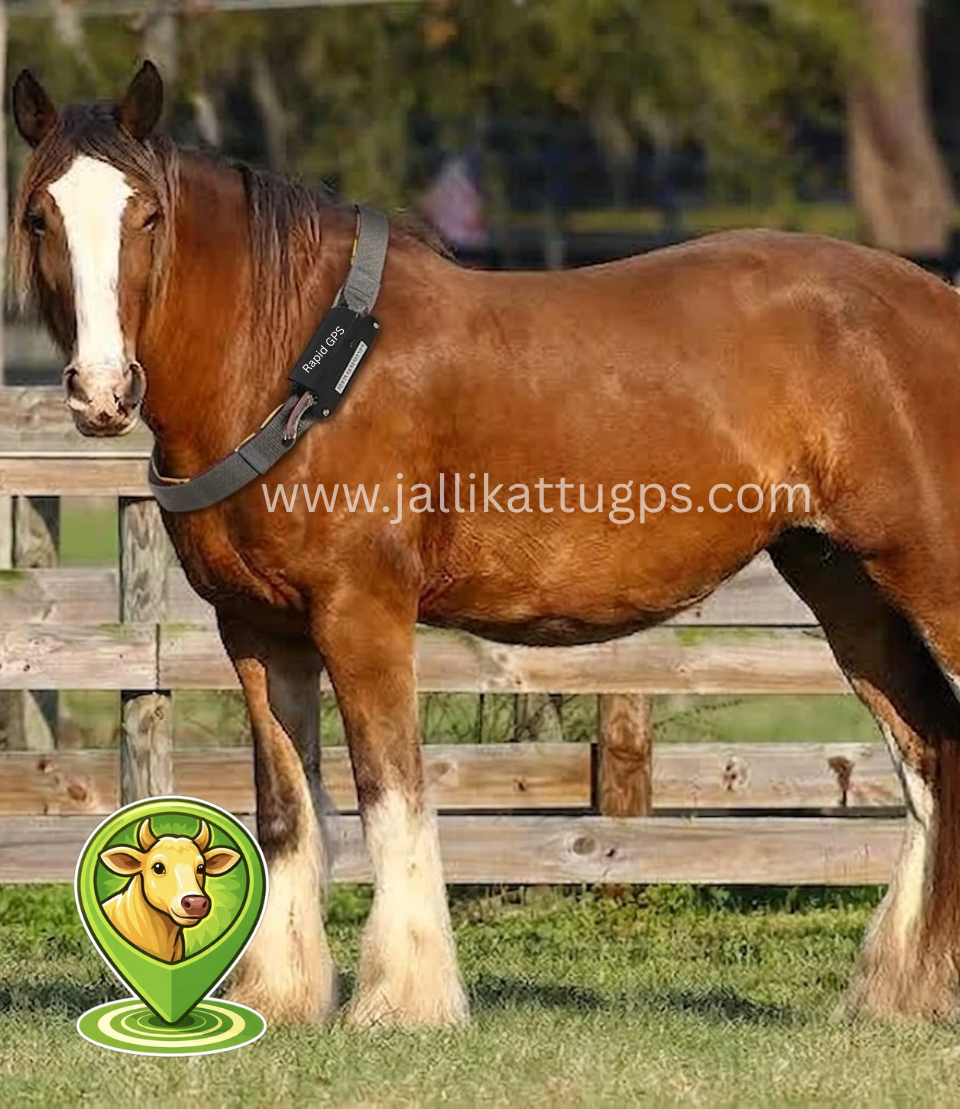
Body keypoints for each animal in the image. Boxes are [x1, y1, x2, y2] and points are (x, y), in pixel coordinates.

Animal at [13, 60, 960, 1028]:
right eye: (40, 215)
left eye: (147, 215)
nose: (102, 391)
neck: (298, 362)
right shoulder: (257, 631)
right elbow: (286, 807)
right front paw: (279, 996)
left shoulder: (362, 615)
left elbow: (390, 794)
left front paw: (403, 1002)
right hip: (846, 586)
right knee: (928, 755)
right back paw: (897, 992)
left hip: (930, 575)